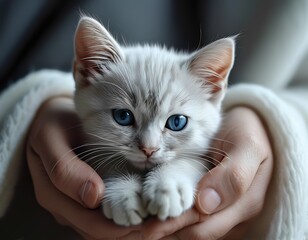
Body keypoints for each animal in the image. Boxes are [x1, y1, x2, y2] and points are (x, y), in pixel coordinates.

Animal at [73, 16, 236, 227]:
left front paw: (168, 187)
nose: (148, 149)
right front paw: (122, 194)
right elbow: (108, 161)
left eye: (177, 122)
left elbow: (188, 160)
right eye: (123, 116)